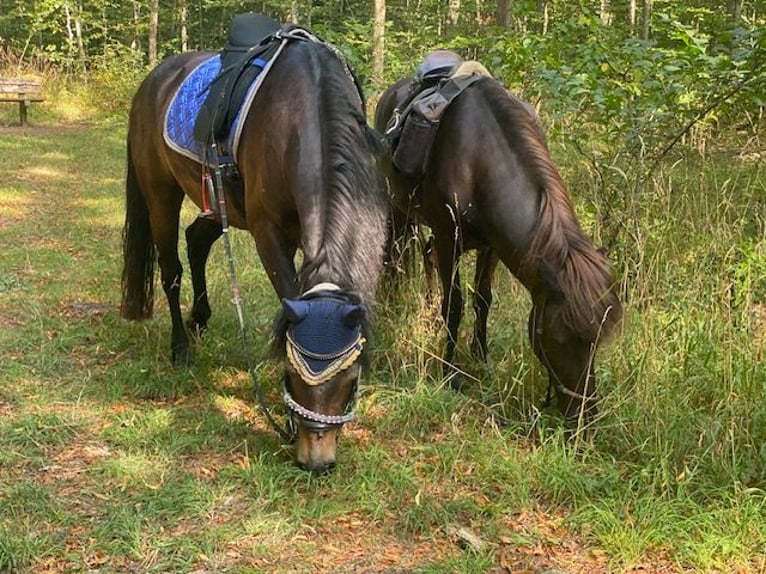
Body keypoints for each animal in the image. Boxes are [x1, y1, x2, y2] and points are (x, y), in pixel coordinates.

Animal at [120, 16, 388, 472]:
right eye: (290, 375)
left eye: (352, 380)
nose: (316, 461)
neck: (302, 112)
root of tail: (154, 78)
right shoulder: (269, 232)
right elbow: (287, 292)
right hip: (160, 193)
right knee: (171, 269)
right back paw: (181, 347)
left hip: (217, 202)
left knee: (197, 241)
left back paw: (200, 319)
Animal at [374, 51, 622, 426]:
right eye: (559, 337)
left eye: (597, 338)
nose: (585, 418)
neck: (477, 158)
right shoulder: (449, 238)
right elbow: (455, 305)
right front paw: (450, 373)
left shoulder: (492, 246)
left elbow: (483, 300)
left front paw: (482, 357)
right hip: (398, 210)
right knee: (394, 259)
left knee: (424, 256)